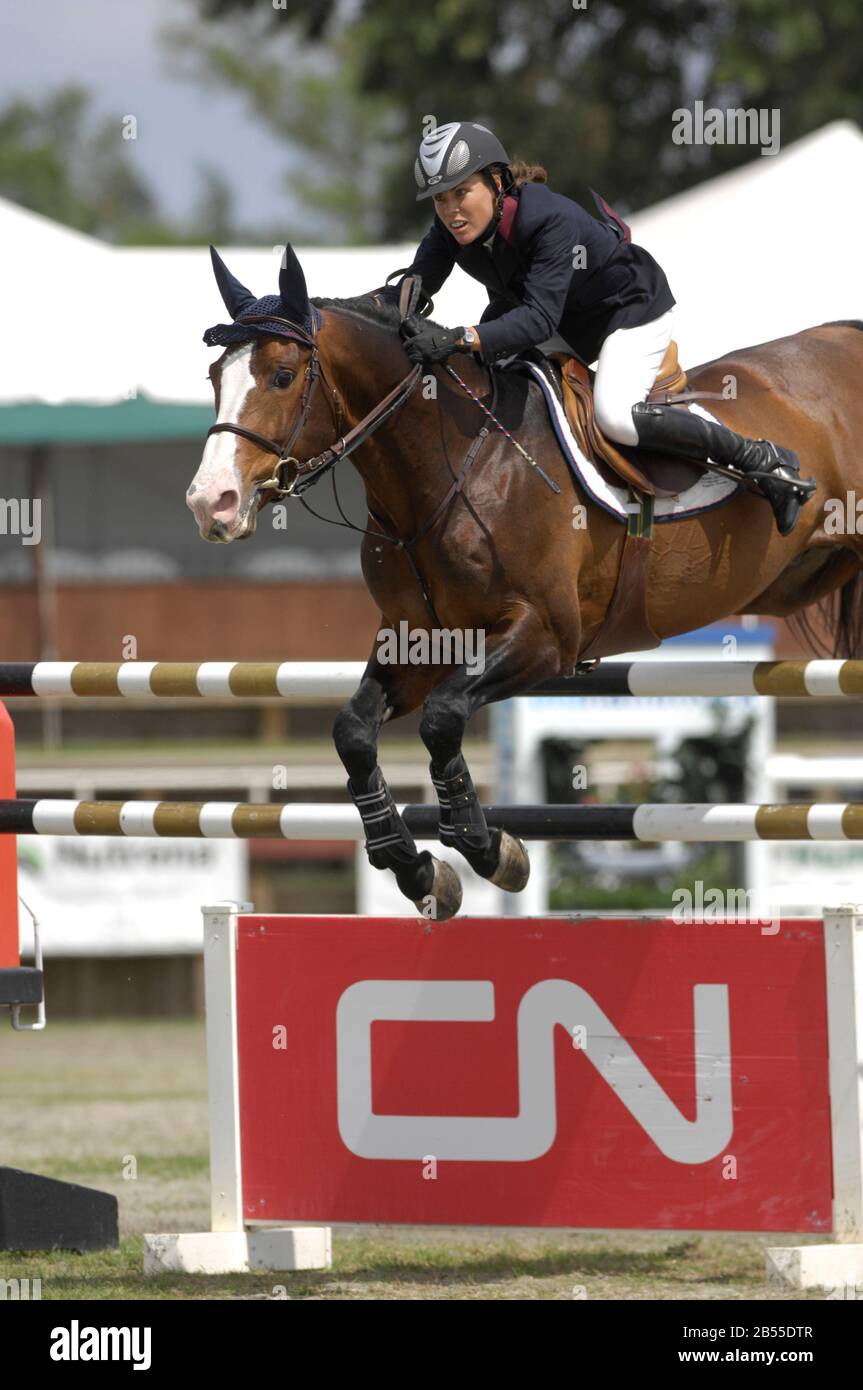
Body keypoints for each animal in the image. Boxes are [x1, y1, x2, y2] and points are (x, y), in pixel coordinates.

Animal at [188, 244, 863, 917]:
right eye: (215, 377)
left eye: (282, 375)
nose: (211, 504)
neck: (454, 467)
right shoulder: (418, 642)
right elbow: (354, 731)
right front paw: (417, 868)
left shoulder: (546, 638)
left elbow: (443, 717)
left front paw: (489, 848)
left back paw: (777, 473)